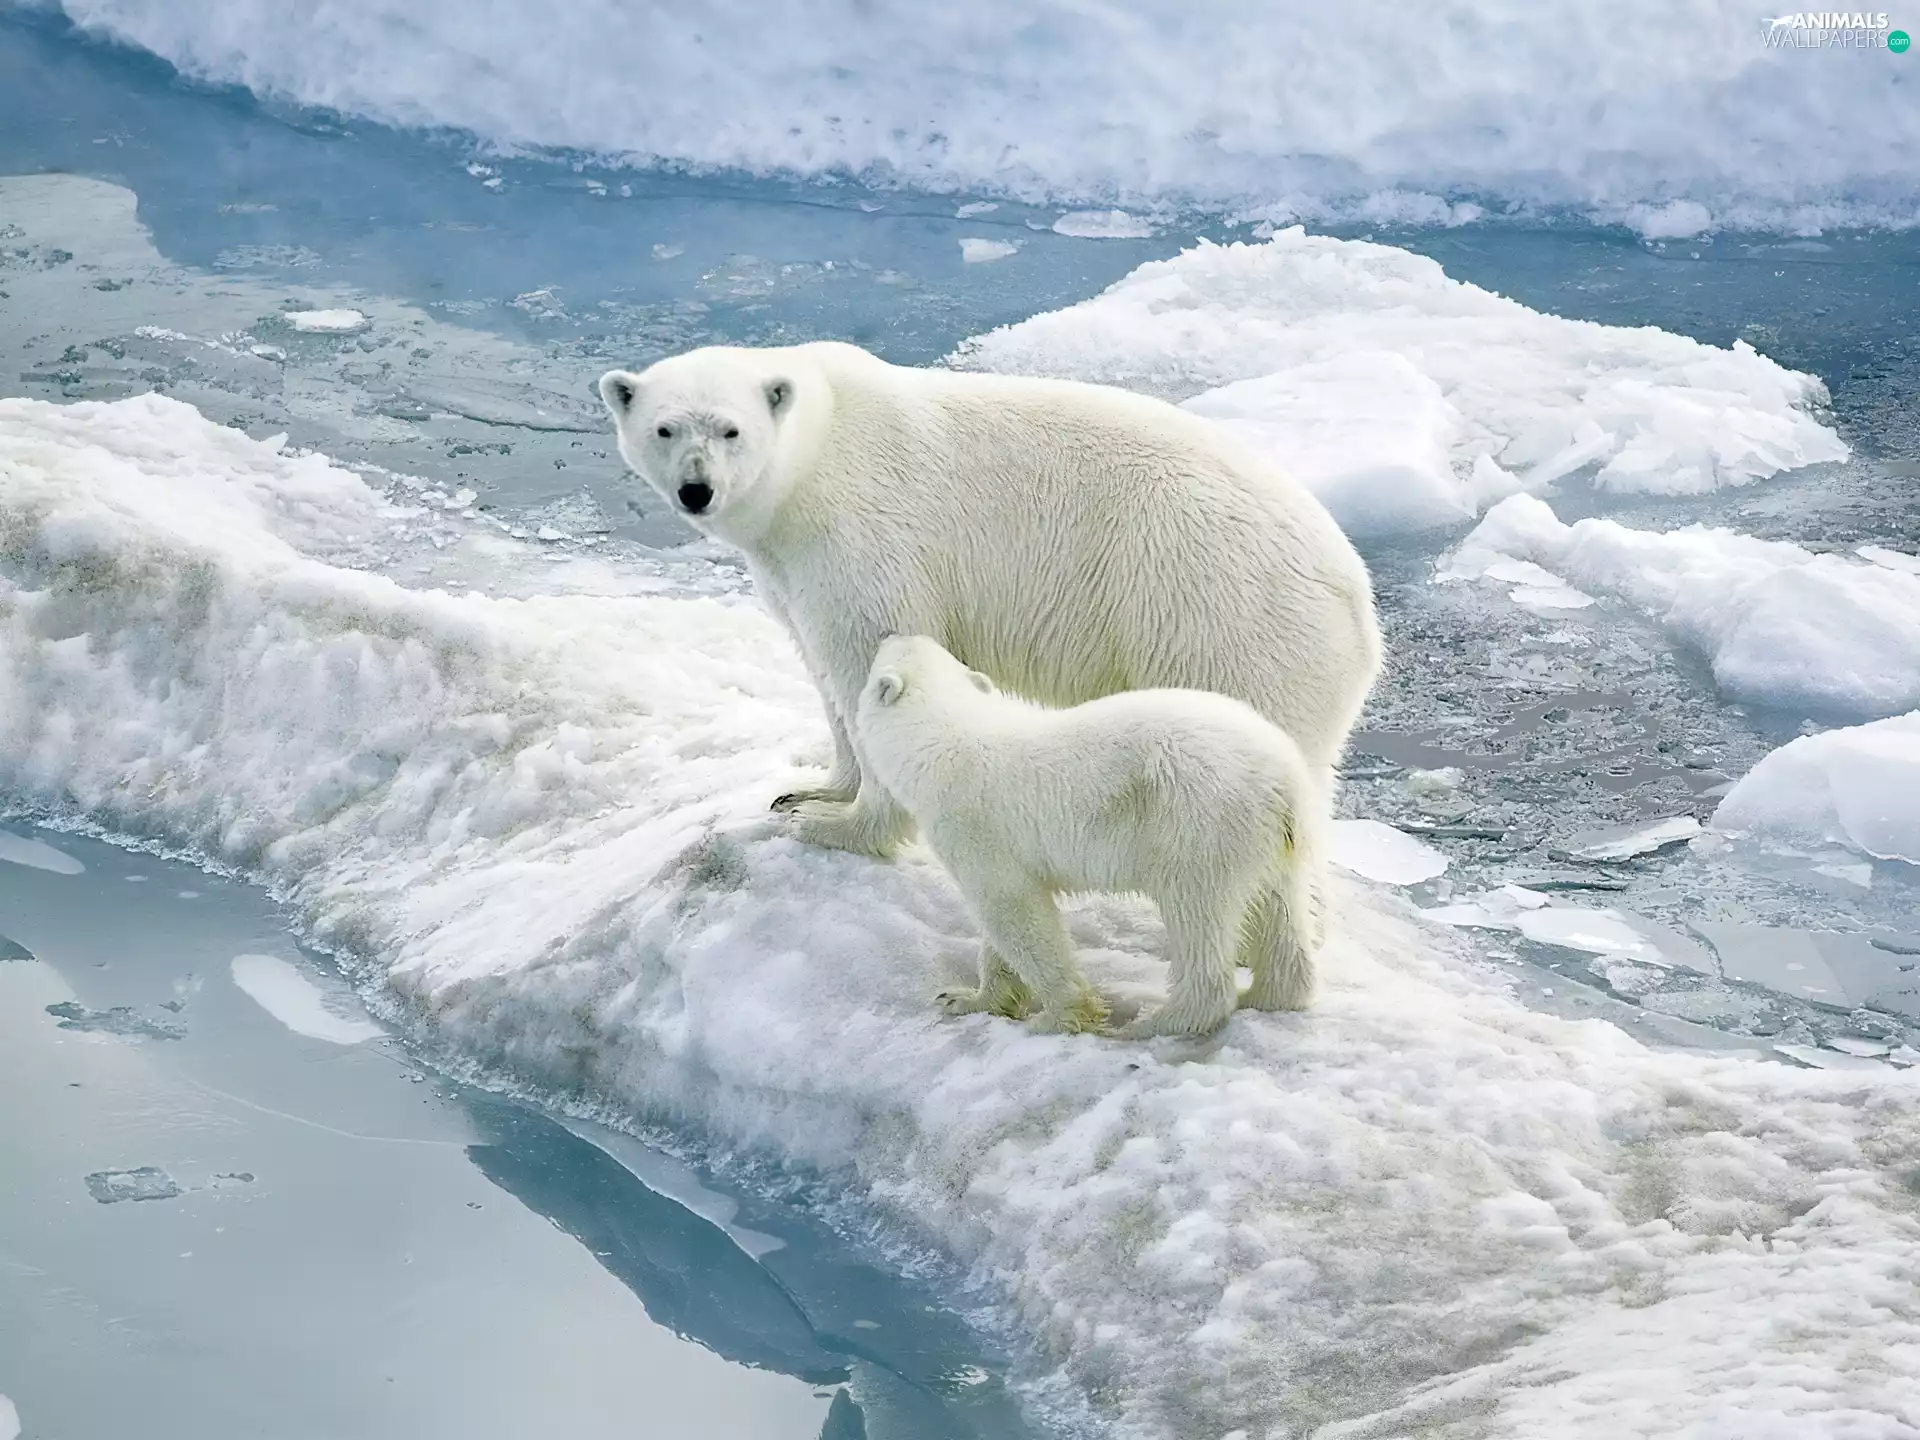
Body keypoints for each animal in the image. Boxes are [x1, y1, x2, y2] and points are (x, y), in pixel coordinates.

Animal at [855, 635, 1324, 1038]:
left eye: (883, 655)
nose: (891, 633)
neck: (944, 739)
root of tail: (1284, 776)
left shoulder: (973, 826)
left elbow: (1015, 913)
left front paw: (1058, 1016)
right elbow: (1002, 928)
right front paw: (967, 998)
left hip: (1198, 821)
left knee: (1196, 911)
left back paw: (1155, 1022)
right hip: (1270, 840)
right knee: (1278, 909)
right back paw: (1267, 993)